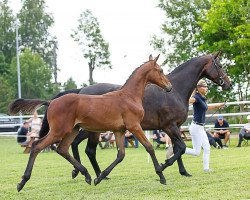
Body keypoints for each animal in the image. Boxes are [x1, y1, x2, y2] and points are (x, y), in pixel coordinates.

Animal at [38, 52, 231, 180]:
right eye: (220, 65)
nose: (228, 84)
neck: (175, 90)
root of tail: (81, 90)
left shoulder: (173, 127)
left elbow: (179, 148)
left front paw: (183, 172)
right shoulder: (169, 126)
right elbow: (181, 148)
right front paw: (163, 166)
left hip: (87, 129)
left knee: (77, 146)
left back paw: (85, 172)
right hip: (91, 130)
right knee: (87, 149)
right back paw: (95, 174)